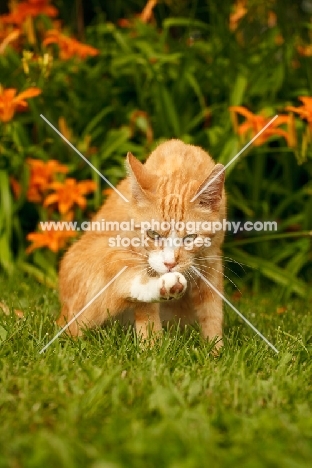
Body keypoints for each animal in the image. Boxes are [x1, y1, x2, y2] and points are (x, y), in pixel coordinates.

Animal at [57, 139, 225, 348]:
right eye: (152, 234)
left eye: (190, 238)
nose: (170, 264)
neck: (179, 164)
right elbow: (146, 311)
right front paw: (152, 348)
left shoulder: (212, 263)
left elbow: (212, 313)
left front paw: (215, 350)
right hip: (103, 253)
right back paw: (167, 286)